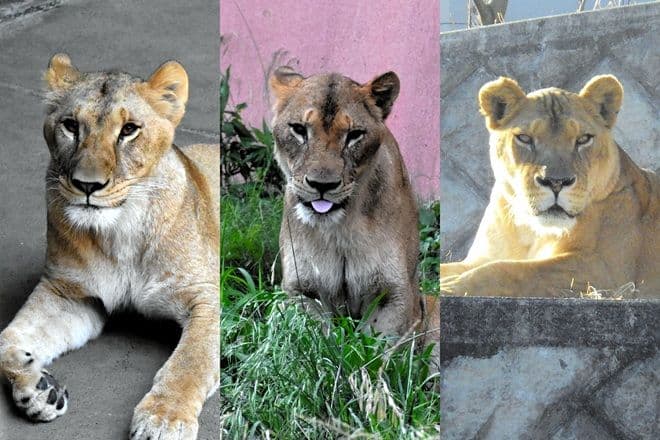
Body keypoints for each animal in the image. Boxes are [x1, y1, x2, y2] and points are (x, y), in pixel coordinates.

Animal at [0, 54, 219, 440]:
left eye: (129, 129)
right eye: (71, 125)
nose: (87, 185)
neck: (121, 232)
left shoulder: (206, 297)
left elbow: (190, 362)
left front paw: (163, 419)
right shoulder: (68, 293)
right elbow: (6, 341)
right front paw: (39, 389)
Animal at [269, 67, 438, 364]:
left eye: (354, 135)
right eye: (299, 129)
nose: (322, 185)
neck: (340, 229)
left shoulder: (393, 293)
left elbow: (378, 353)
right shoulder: (301, 291)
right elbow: (315, 344)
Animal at [441, 75, 659, 298]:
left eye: (583, 139)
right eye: (525, 138)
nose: (556, 182)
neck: (531, 231)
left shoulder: (608, 271)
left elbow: (516, 270)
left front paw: (449, 286)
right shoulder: (480, 258)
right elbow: (452, 266)